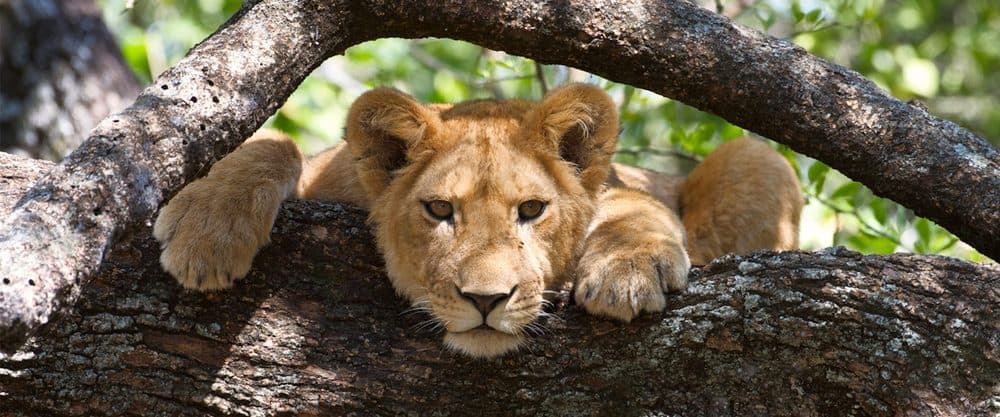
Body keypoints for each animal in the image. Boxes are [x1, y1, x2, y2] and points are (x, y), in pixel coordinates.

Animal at [153, 84, 802, 358]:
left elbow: (633, 207)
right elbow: (274, 143)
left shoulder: (622, 189)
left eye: (532, 210)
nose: (486, 301)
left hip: (760, 158)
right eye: (440, 210)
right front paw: (206, 232)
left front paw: (626, 273)